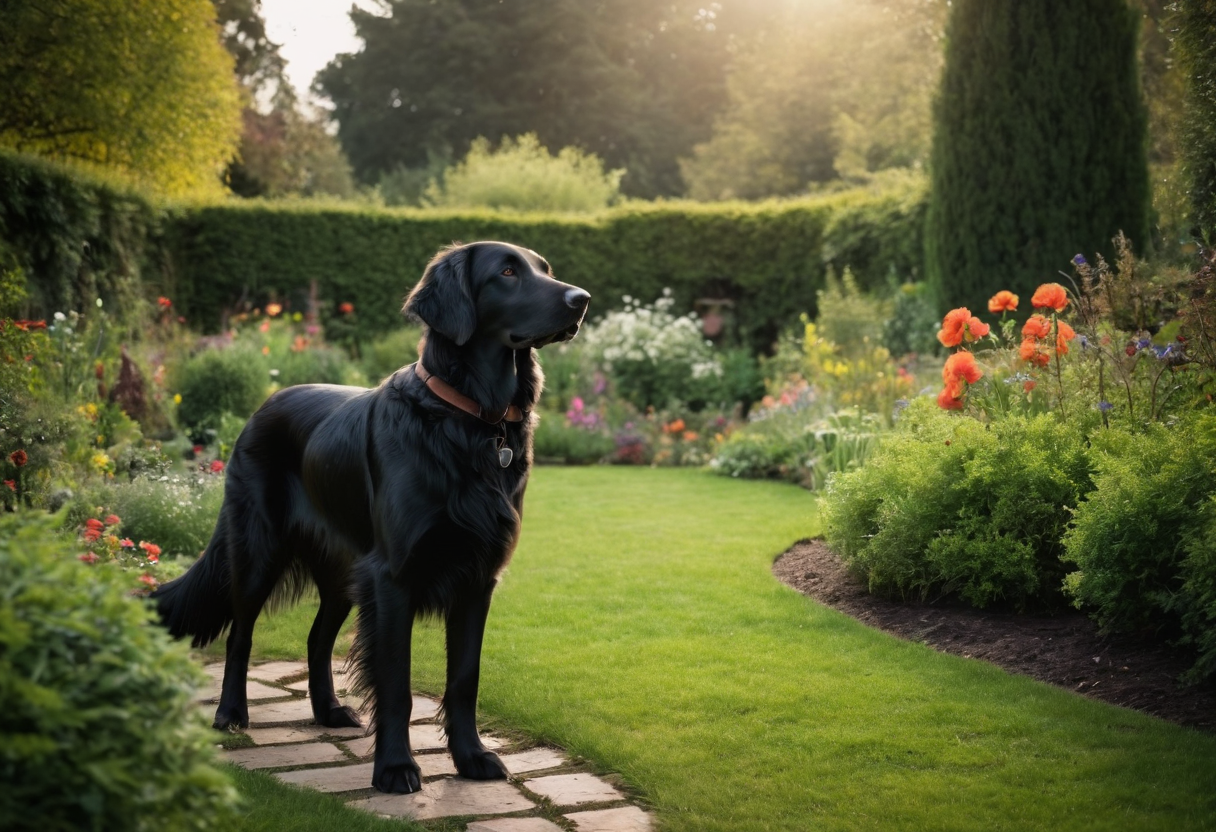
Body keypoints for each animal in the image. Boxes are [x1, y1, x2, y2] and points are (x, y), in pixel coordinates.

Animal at [154, 242, 590, 793]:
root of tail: (261, 407)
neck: (469, 421)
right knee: (240, 634)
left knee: (317, 638)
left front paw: (471, 758)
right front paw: (396, 768)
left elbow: (464, 678)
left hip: (343, 571)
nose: (582, 299)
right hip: (258, 551)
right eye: (508, 271)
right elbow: (396, 683)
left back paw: (328, 710)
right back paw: (231, 714)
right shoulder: (392, 577)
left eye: (545, 269)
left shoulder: (477, 577)